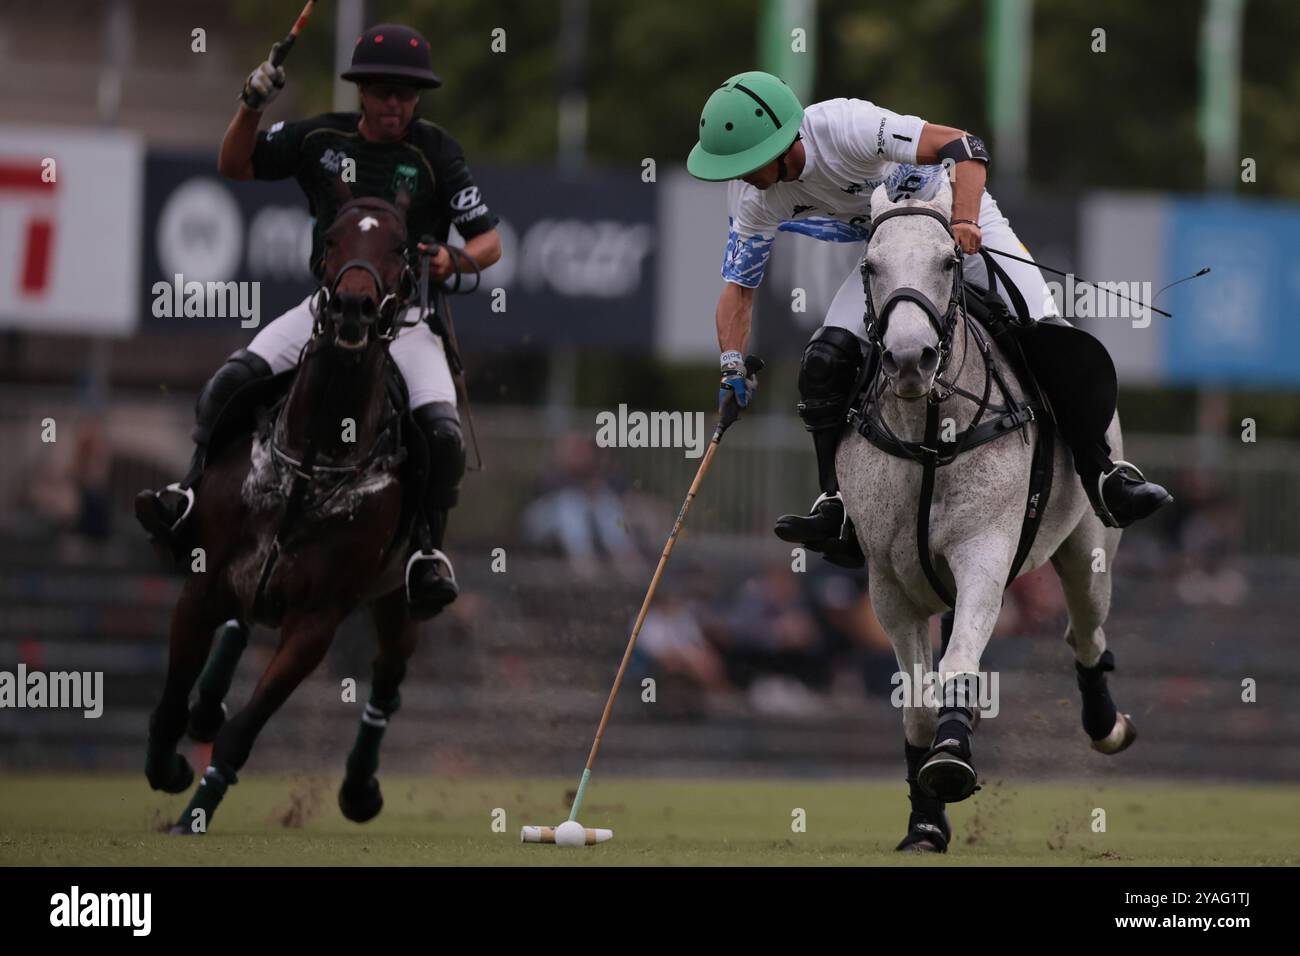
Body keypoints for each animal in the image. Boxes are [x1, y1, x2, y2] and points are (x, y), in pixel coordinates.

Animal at [146, 191, 421, 832]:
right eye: (334, 237)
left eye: (400, 245)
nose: (352, 307)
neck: (314, 459)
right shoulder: (200, 586)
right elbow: (170, 699)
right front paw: (167, 767)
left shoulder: (317, 620)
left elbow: (242, 735)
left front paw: (195, 815)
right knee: (237, 627)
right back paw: (206, 705)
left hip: (394, 593)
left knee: (389, 676)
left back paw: (359, 789)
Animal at [837, 178, 1133, 853]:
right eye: (870, 266)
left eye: (949, 261)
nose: (910, 360)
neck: (928, 432)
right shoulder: (888, 584)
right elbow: (918, 699)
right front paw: (925, 820)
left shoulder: (983, 554)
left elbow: (959, 662)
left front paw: (950, 758)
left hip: (1088, 550)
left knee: (1085, 632)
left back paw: (1106, 724)